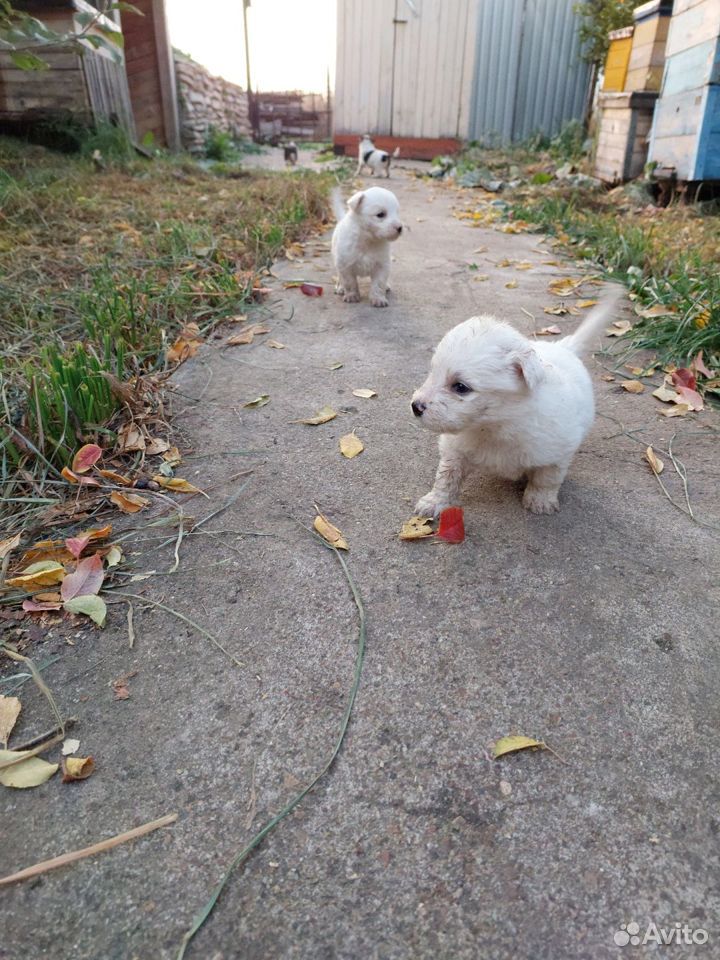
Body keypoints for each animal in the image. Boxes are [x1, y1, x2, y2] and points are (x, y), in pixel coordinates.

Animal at [410, 290, 624, 516]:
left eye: (460, 387)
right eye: (433, 373)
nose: (415, 406)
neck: (497, 425)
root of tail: (562, 347)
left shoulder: (557, 454)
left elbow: (546, 479)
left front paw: (540, 501)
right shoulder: (455, 449)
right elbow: (447, 477)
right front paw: (435, 501)